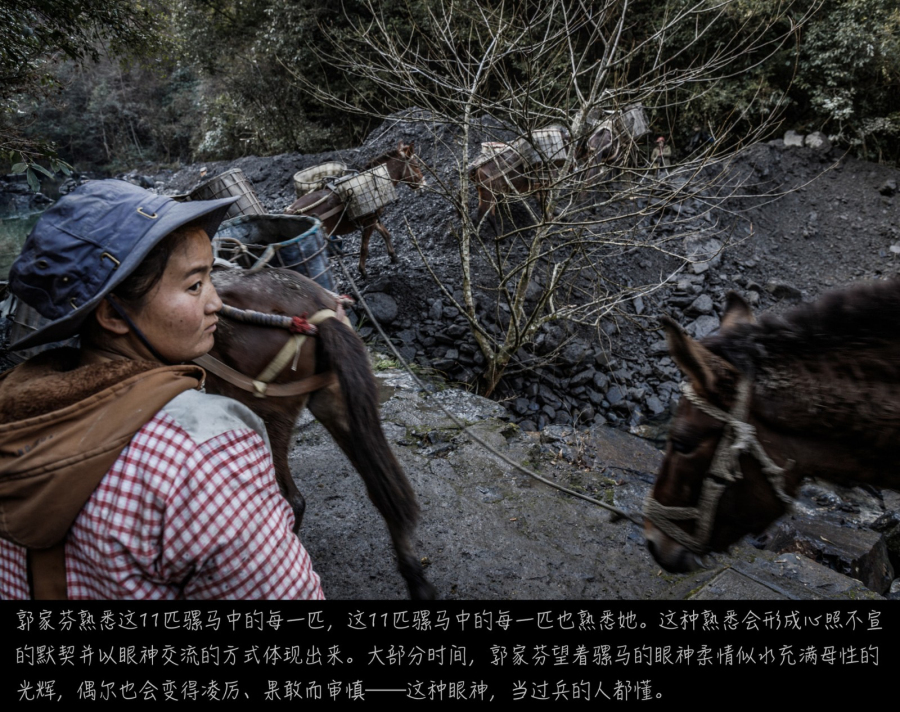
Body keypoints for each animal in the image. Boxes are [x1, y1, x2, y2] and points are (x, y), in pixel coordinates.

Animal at [198, 266, 437, 600]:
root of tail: (320, 315)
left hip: (264, 409)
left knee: (291, 499)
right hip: (332, 402)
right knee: (381, 488)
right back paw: (416, 579)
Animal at [284, 142, 426, 279]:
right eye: (416, 165)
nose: (424, 185)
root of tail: (291, 211)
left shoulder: (372, 218)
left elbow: (386, 233)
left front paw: (393, 255)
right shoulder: (369, 221)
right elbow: (364, 248)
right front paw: (363, 271)